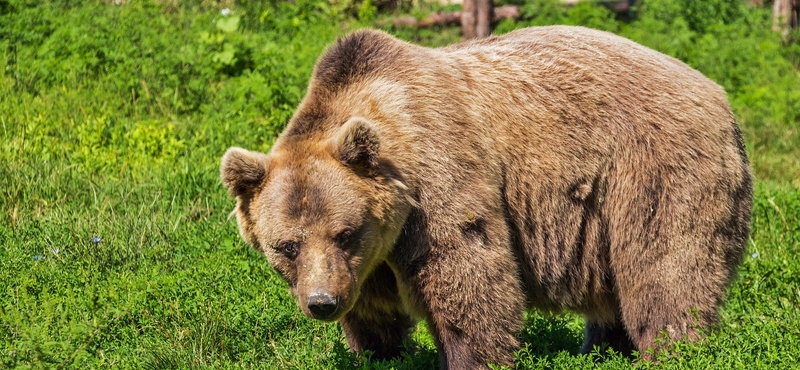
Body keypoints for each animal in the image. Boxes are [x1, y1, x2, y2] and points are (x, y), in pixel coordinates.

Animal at [220, 25, 756, 368]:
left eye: (344, 232)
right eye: (286, 246)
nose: (322, 303)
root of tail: (720, 95)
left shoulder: (439, 177)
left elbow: (468, 273)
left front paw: (470, 356)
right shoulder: (371, 256)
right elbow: (374, 310)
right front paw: (377, 350)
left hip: (653, 170)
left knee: (665, 270)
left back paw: (673, 348)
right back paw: (604, 348)